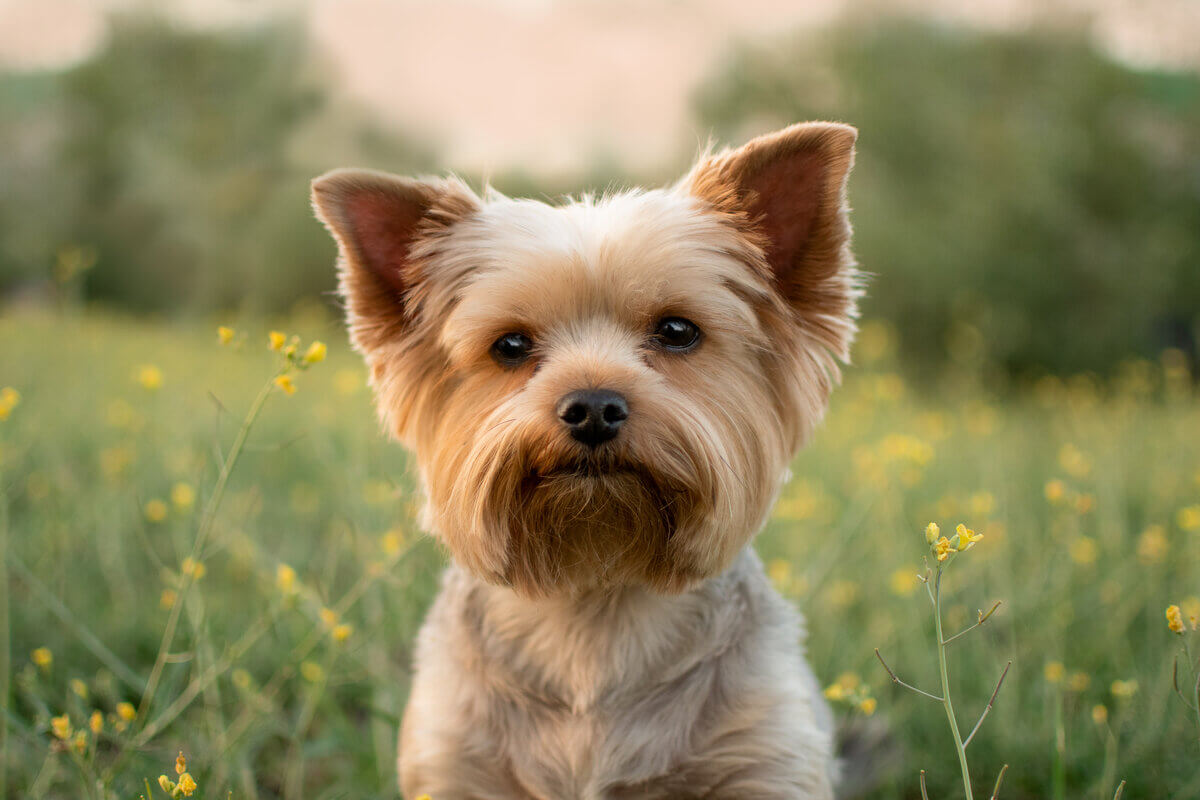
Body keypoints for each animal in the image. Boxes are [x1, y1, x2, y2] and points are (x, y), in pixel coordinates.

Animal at [312, 120, 864, 800]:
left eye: (677, 331)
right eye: (510, 345)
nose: (594, 407)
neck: (594, 606)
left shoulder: (763, 756)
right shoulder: (456, 760)